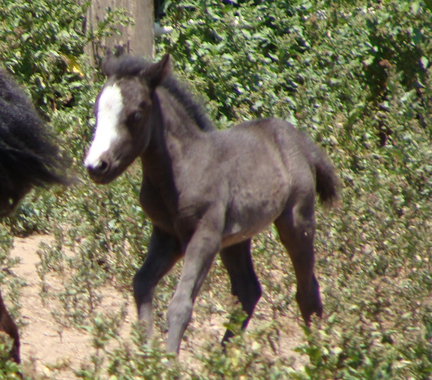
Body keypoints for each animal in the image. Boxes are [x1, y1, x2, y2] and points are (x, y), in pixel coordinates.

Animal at [84, 52, 340, 354]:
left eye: (135, 114)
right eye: (97, 112)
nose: (96, 166)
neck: (182, 167)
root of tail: (302, 141)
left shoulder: (204, 235)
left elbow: (180, 304)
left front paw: (168, 360)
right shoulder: (167, 235)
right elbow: (142, 284)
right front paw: (147, 355)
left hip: (297, 221)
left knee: (306, 290)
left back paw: (317, 355)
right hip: (235, 239)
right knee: (249, 290)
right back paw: (225, 356)